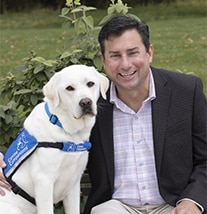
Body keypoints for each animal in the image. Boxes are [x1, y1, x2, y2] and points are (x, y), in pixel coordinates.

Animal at [0, 65, 109, 214]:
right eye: (69, 88)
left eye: (90, 84)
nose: (86, 102)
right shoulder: (44, 182)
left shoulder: (74, 183)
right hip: (13, 209)